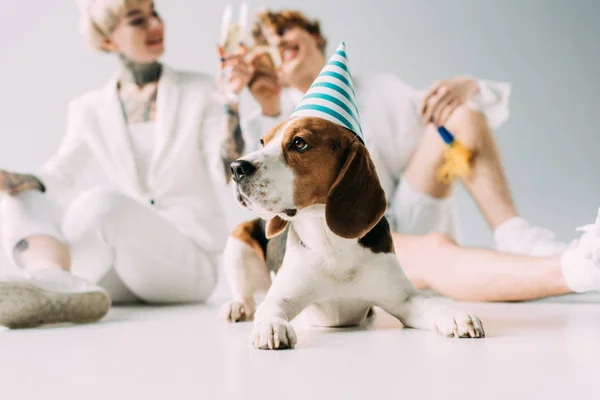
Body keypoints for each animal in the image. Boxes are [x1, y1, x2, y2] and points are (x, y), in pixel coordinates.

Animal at [219, 117, 482, 348]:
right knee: (243, 291)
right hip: (238, 239)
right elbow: (270, 308)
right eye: (263, 142)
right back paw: (236, 306)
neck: (331, 245)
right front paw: (272, 326)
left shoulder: (405, 300)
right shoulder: (282, 297)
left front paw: (456, 316)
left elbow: (430, 303)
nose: (236, 167)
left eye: (299, 143)